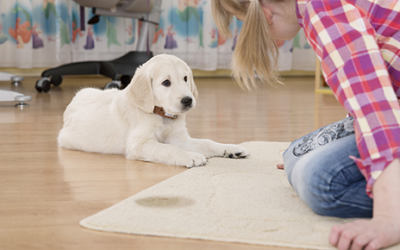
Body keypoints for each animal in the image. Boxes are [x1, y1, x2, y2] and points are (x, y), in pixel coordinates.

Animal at [57, 54, 248, 168]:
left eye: (185, 78)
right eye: (166, 82)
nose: (188, 100)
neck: (162, 115)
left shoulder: (179, 138)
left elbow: (206, 142)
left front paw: (230, 148)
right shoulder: (139, 145)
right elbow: (169, 149)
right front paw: (191, 156)